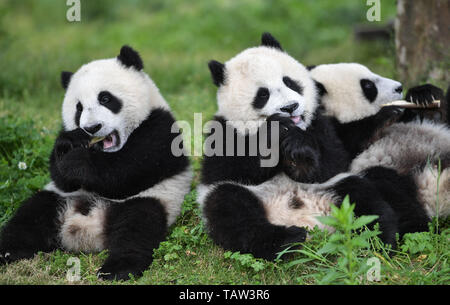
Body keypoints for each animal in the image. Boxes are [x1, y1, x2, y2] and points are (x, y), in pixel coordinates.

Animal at [0, 45, 192, 280]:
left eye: (105, 98)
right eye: (79, 108)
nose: (92, 128)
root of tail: (87, 227)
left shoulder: (160, 129)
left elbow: (125, 173)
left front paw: (76, 161)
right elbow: (61, 177)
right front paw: (69, 146)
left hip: (154, 200)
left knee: (137, 227)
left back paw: (118, 269)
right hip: (57, 199)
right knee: (30, 216)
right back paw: (8, 251)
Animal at [310, 62, 450, 221]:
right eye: (368, 85)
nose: (399, 87)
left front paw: (424, 96)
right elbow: (335, 160)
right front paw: (386, 113)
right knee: (389, 189)